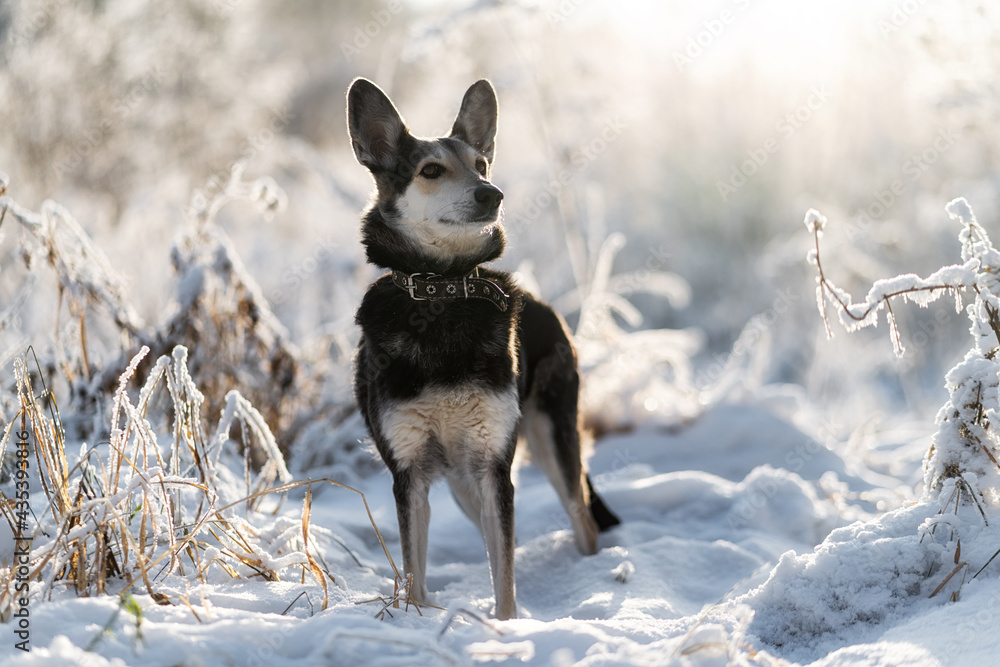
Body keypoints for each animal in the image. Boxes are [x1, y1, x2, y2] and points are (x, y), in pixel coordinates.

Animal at [348, 77, 620, 620]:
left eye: (481, 164)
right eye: (431, 170)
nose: (492, 193)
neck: (442, 290)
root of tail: (544, 304)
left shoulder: (495, 465)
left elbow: (505, 583)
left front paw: (510, 628)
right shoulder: (410, 474)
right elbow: (416, 577)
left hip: (548, 439)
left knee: (581, 519)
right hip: (461, 482)